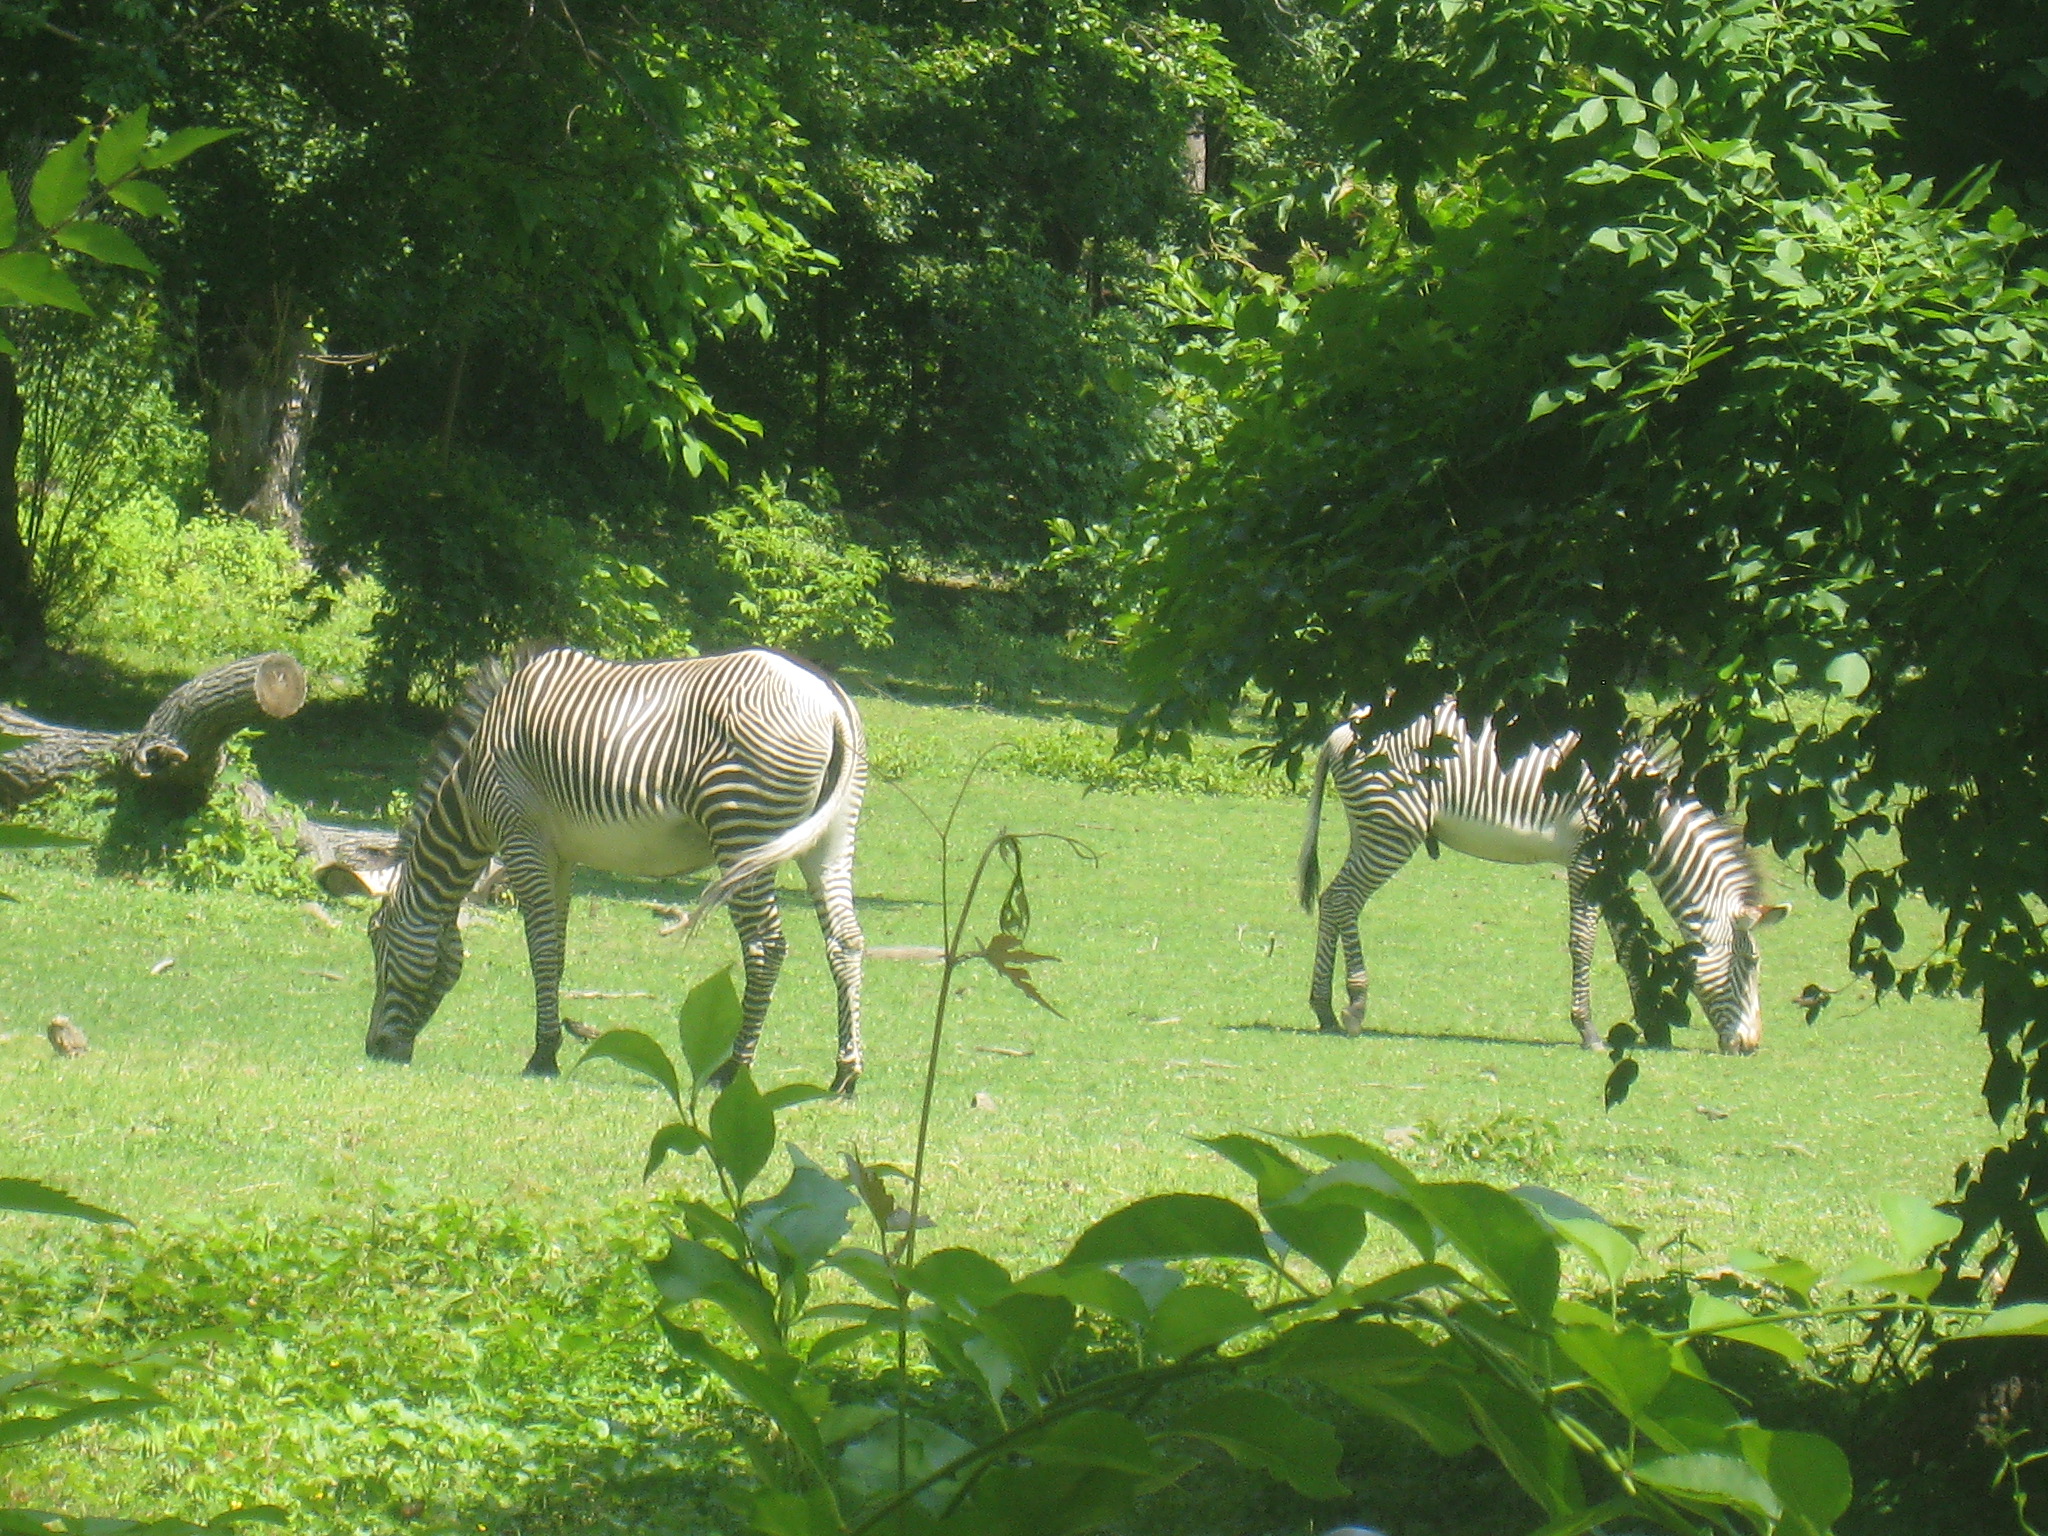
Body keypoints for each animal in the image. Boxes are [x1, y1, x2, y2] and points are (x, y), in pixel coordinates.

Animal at [368, 643, 864, 1089]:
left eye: (378, 944)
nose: (375, 1049)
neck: (471, 788)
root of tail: (828, 699)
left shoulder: (521, 837)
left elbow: (540, 948)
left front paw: (542, 1056)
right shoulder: (561, 855)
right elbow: (556, 950)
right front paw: (548, 1046)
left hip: (742, 829)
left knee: (766, 945)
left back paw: (733, 1070)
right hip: (832, 834)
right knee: (845, 939)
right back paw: (845, 1074)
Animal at [1302, 700, 1785, 1056]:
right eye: (1749, 963)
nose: (1751, 1046)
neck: (1645, 812)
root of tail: (1344, 730)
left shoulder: (1611, 870)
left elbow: (1628, 944)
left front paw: (1651, 1026)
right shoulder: (1588, 858)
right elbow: (1584, 941)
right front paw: (1588, 1029)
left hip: (1371, 826)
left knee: (1331, 898)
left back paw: (1323, 1008)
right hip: (1393, 826)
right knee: (1344, 898)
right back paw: (1355, 1005)